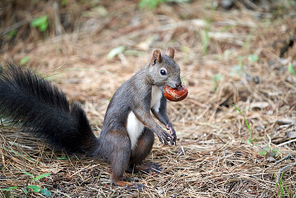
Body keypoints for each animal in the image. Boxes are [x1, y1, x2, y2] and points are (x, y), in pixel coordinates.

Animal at [0, 46, 185, 189]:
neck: (154, 85)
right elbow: (143, 113)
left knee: (130, 164)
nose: (178, 85)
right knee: (118, 171)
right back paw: (124, 183)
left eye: (178, 68)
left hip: (143, 141)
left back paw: (145, 167)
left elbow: (160, 113)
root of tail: (102, 148)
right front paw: (161, 131)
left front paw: (171, 129)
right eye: (163, 72)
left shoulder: (158, 103)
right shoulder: (138, 93)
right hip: (119, 141)